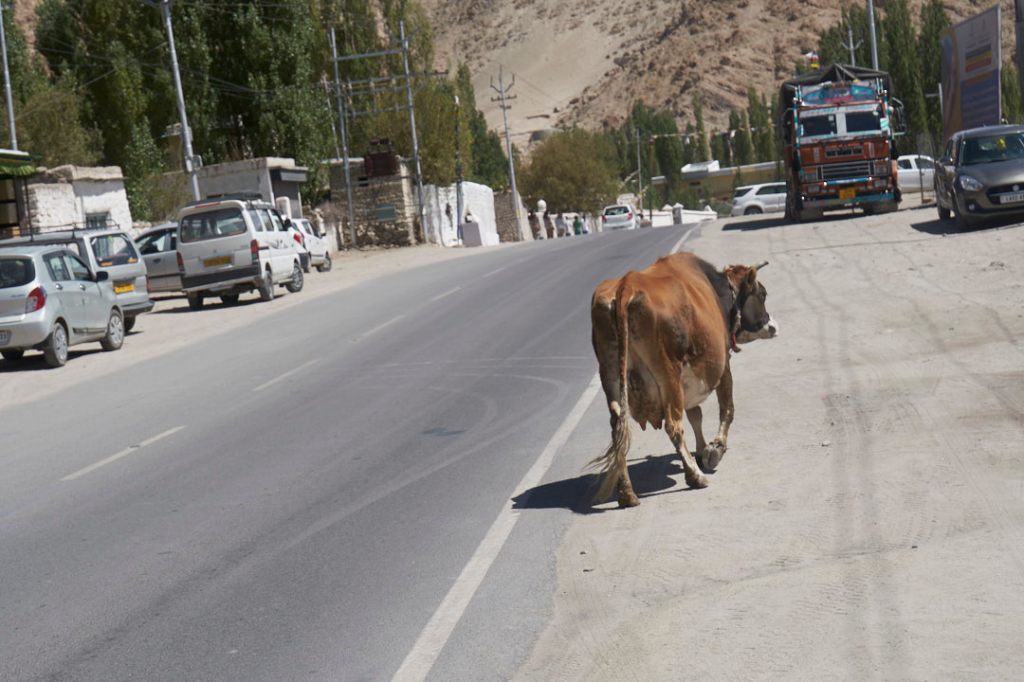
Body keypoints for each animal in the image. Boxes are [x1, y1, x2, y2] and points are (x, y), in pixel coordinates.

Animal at [590, 252, 777, 507]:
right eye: (762, 294)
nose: (773, 326)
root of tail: (625, 285)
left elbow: (695, 415)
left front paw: (701, 449)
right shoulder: (723, 364)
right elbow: (727, 409)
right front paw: (714, 450)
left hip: (610, 375)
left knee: (619, 429)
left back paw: (627, 493)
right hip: (668, 373)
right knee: (673, 425)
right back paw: (695, 476)